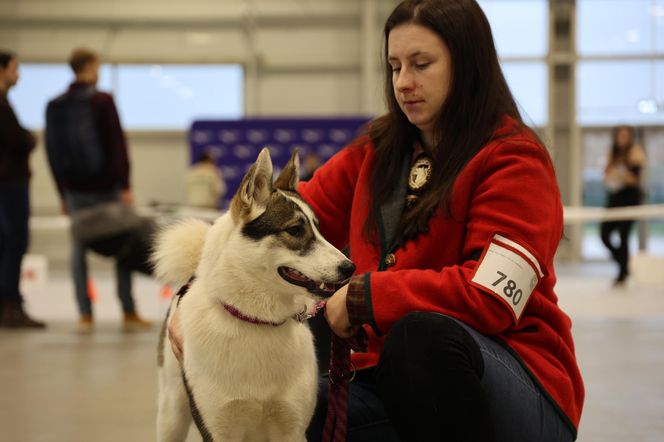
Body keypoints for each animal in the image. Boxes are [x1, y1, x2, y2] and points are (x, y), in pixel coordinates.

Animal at [151, 149, 352, 442]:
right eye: (295, 230)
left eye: (318, 228)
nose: (350, 267)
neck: (257, 320)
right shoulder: (218, 430)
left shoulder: (292, 429)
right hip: (172, 415)